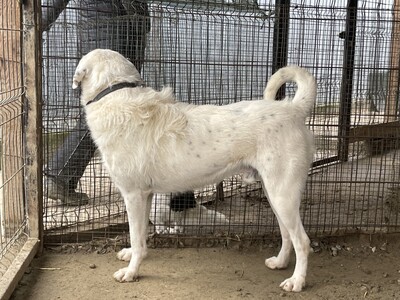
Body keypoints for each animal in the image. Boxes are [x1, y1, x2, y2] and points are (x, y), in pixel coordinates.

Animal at [71, 49, 316, 292]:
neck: (114, 92)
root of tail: (293, 109)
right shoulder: (146, 196)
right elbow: (140, 235)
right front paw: (133, 256)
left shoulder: (133, 195)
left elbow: (135, 237)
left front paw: (131, 272)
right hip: (273, 193)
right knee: (286, 234)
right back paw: (280, 263)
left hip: (283, 194)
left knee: (302, 241)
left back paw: (297, 281)